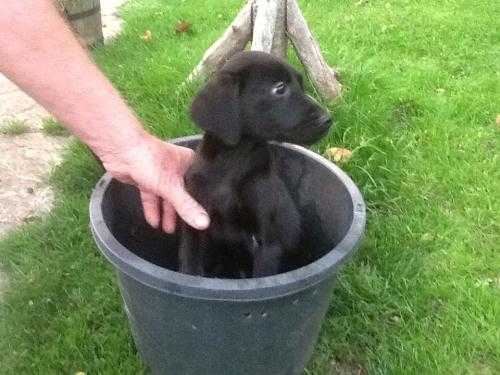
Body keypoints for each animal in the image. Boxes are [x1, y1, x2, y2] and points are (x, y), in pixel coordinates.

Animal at [178, 51, 330, 278]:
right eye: (280, 88)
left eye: (301, 84)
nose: (328, 119)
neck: (234, 161)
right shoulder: (194, 227)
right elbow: (190, 267)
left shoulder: (267, 243)